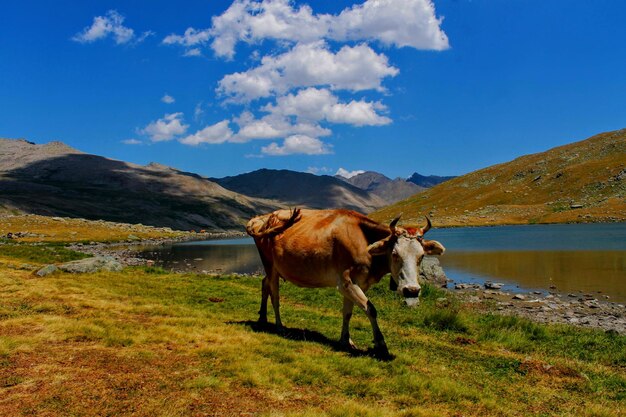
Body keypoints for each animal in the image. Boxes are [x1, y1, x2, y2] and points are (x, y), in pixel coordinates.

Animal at [245, 208, 444, 354]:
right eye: (395, 254)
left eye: (421, 256)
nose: (412, 290)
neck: (364, 242)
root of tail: (261, 218)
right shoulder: (346, 282)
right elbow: (370, 309)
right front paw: (380, 343)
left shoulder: (358, 283)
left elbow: (348, 312)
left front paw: (345, 340)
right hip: (270, 264)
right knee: (275, 295)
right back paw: (279, 326)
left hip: (274, 268)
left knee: (264, 285)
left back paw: (262, 317)